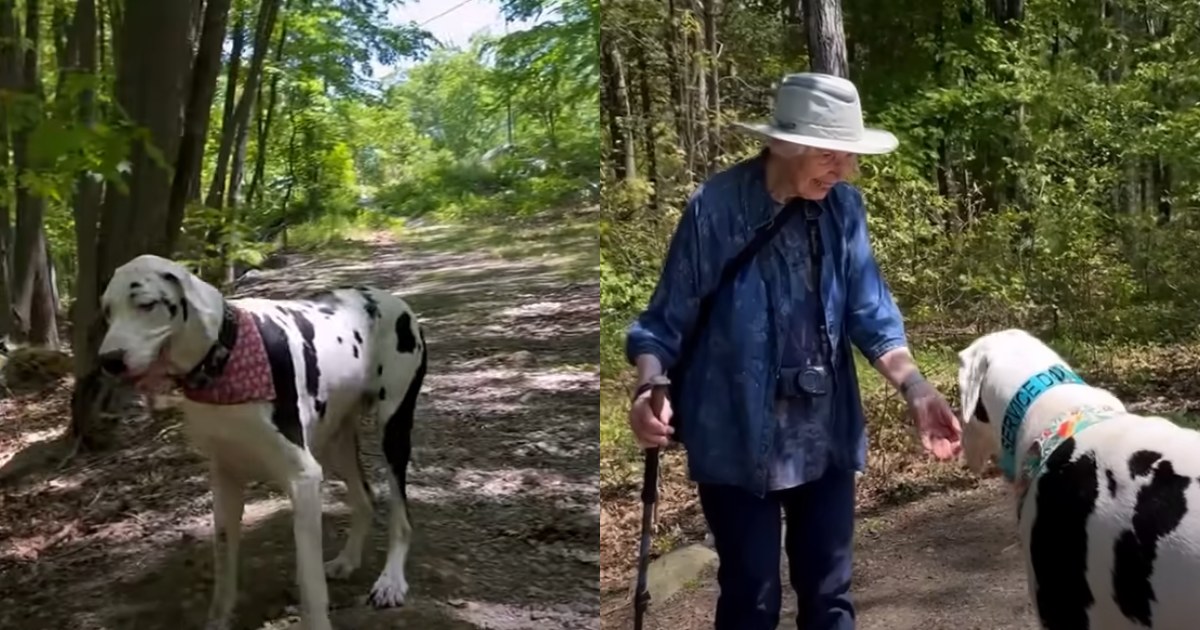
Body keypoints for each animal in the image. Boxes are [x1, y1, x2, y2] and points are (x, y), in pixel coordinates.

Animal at [98, 254, 427, 628]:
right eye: (107, 311)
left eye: (146, 304)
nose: (108, 360)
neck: (225, 355)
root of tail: (395, 301)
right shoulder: (225, 481)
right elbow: (224, 571)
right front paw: (218, 621)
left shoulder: (303, 479)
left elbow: (310, 583)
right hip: (336, 441)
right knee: (364, 499)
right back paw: (348, 560)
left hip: (393, 432)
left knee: (401, 516)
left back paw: (391, 581)